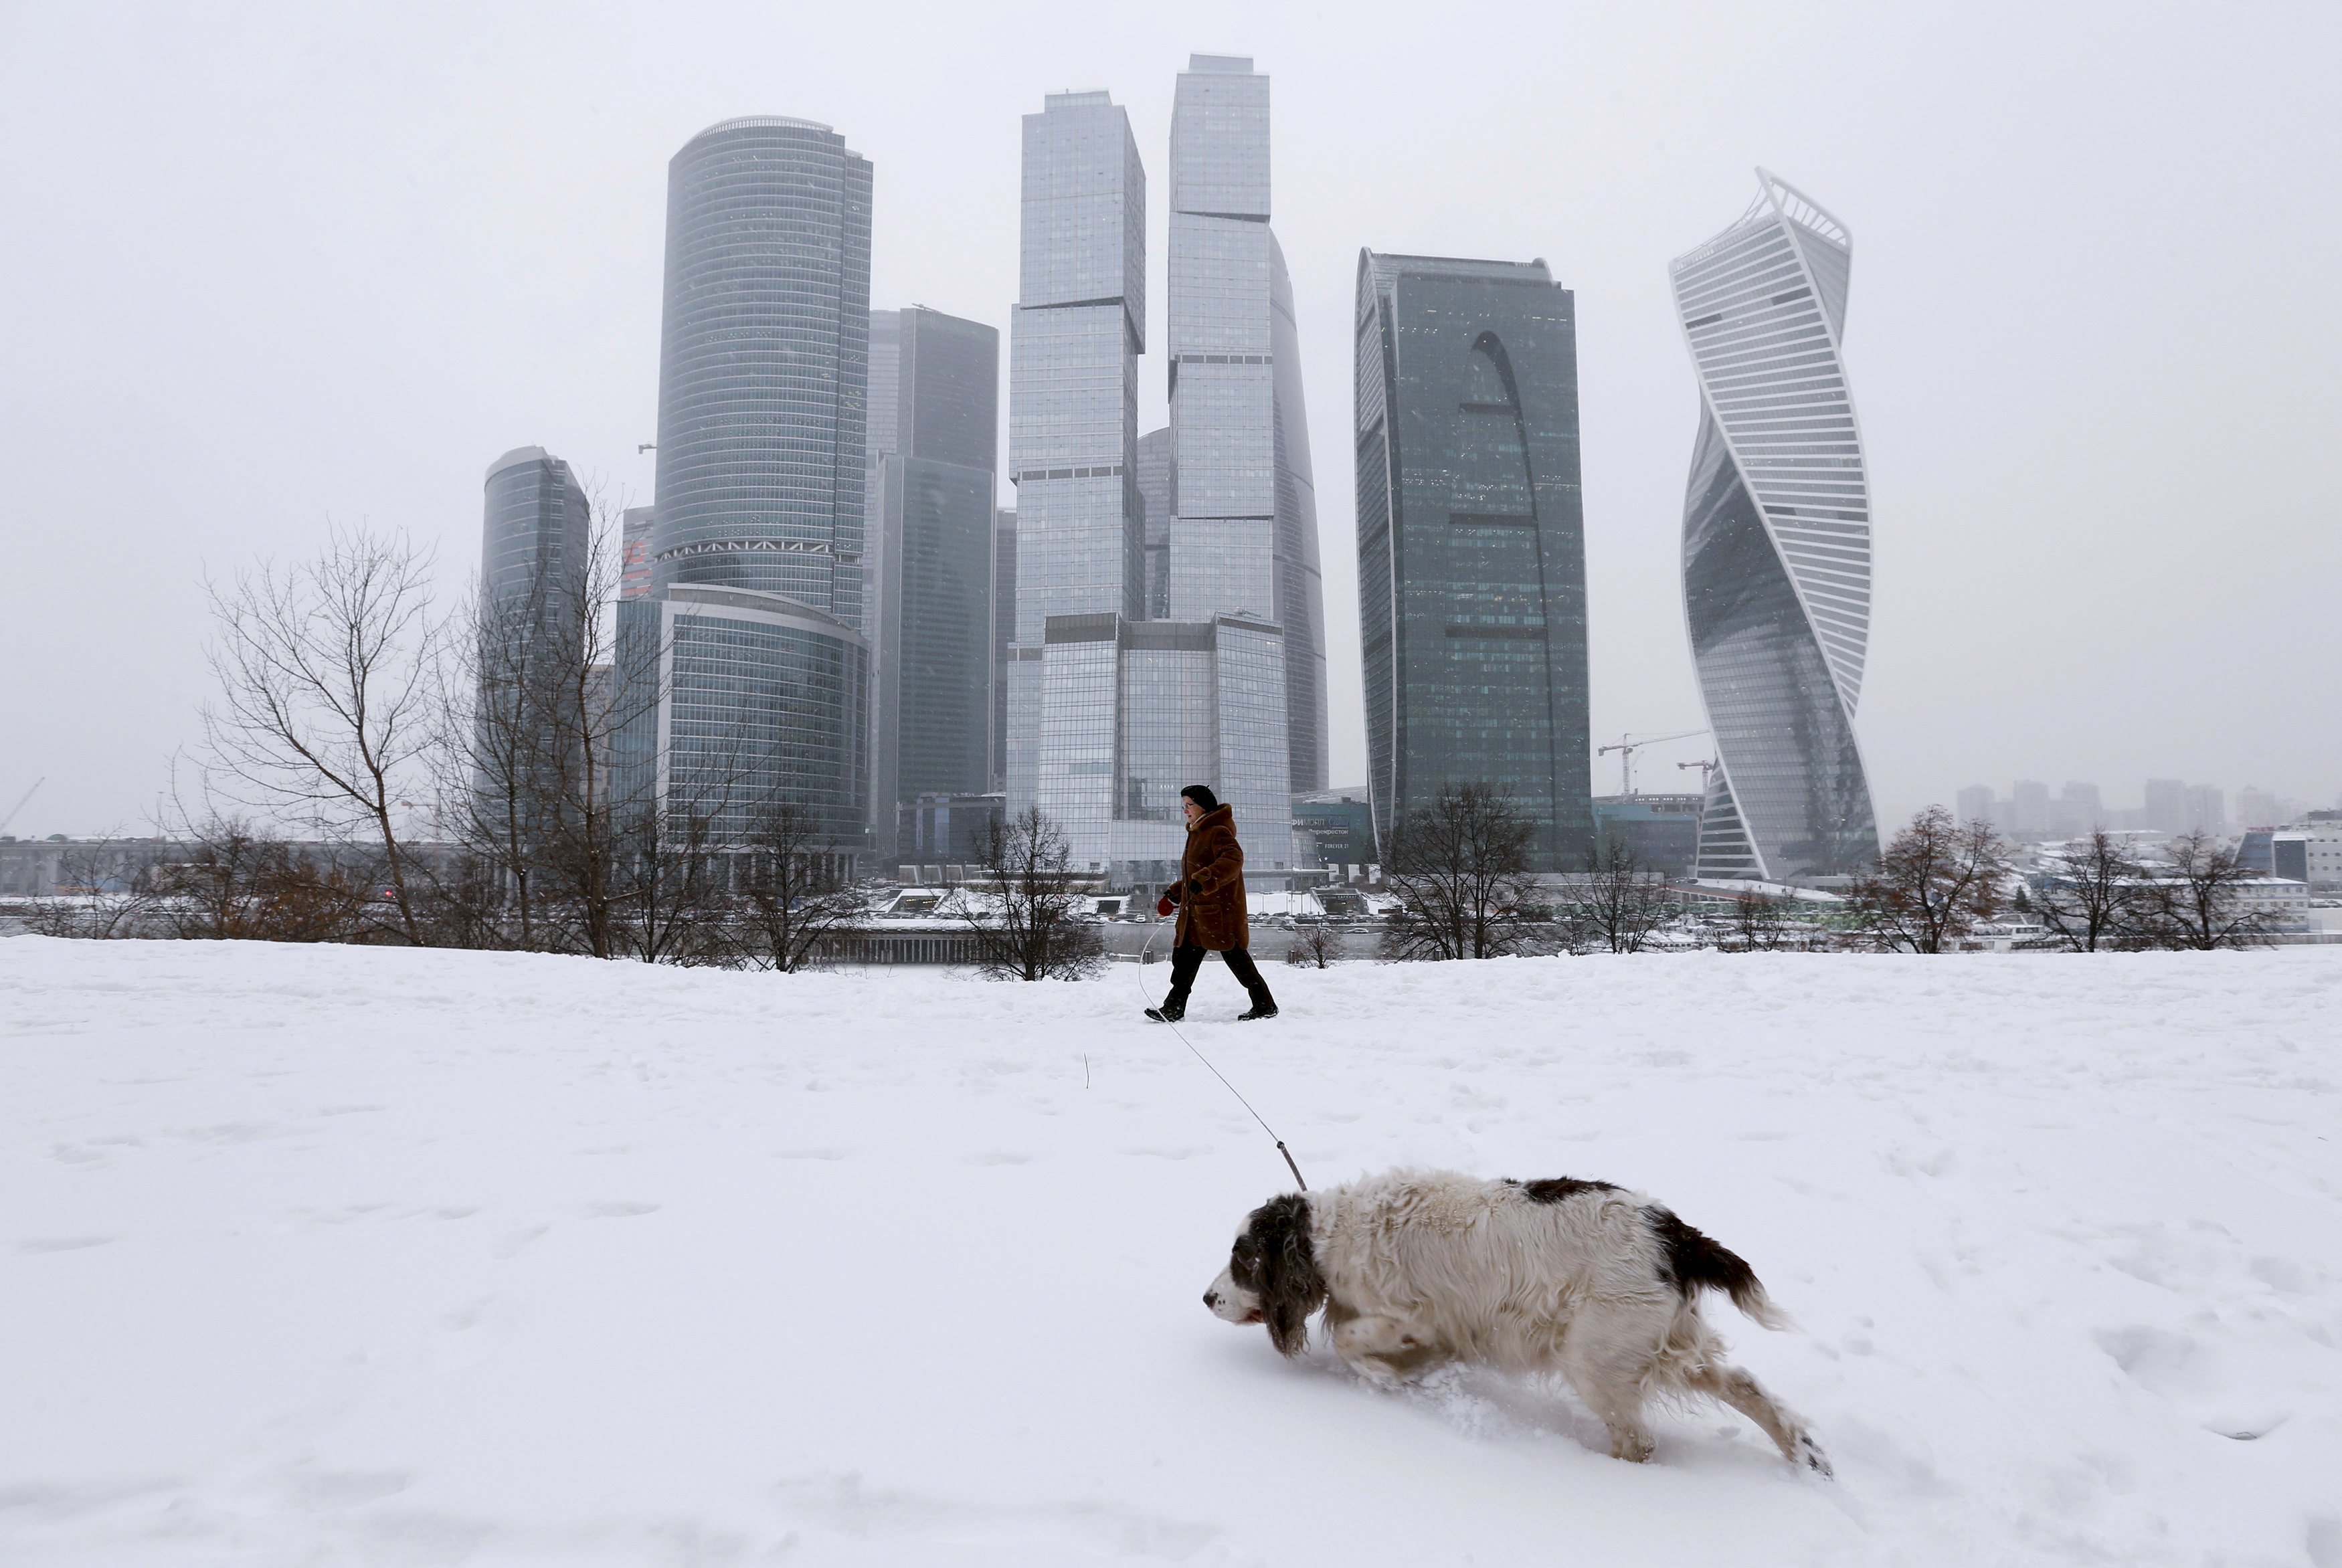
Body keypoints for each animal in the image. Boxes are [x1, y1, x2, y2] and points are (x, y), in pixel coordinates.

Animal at [1208, 1175, 1827, 1479]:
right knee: (1745, 1385)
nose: (1208, 1297)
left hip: (1596, 1356)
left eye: (1245, 1258)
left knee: (1639, 1440)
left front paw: (1387, 1380)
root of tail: (1675, 1235)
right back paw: (1805, 1456)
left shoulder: (1415, 1316)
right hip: (1658, 1342)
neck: (1329, 1235)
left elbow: (1350, 1339)